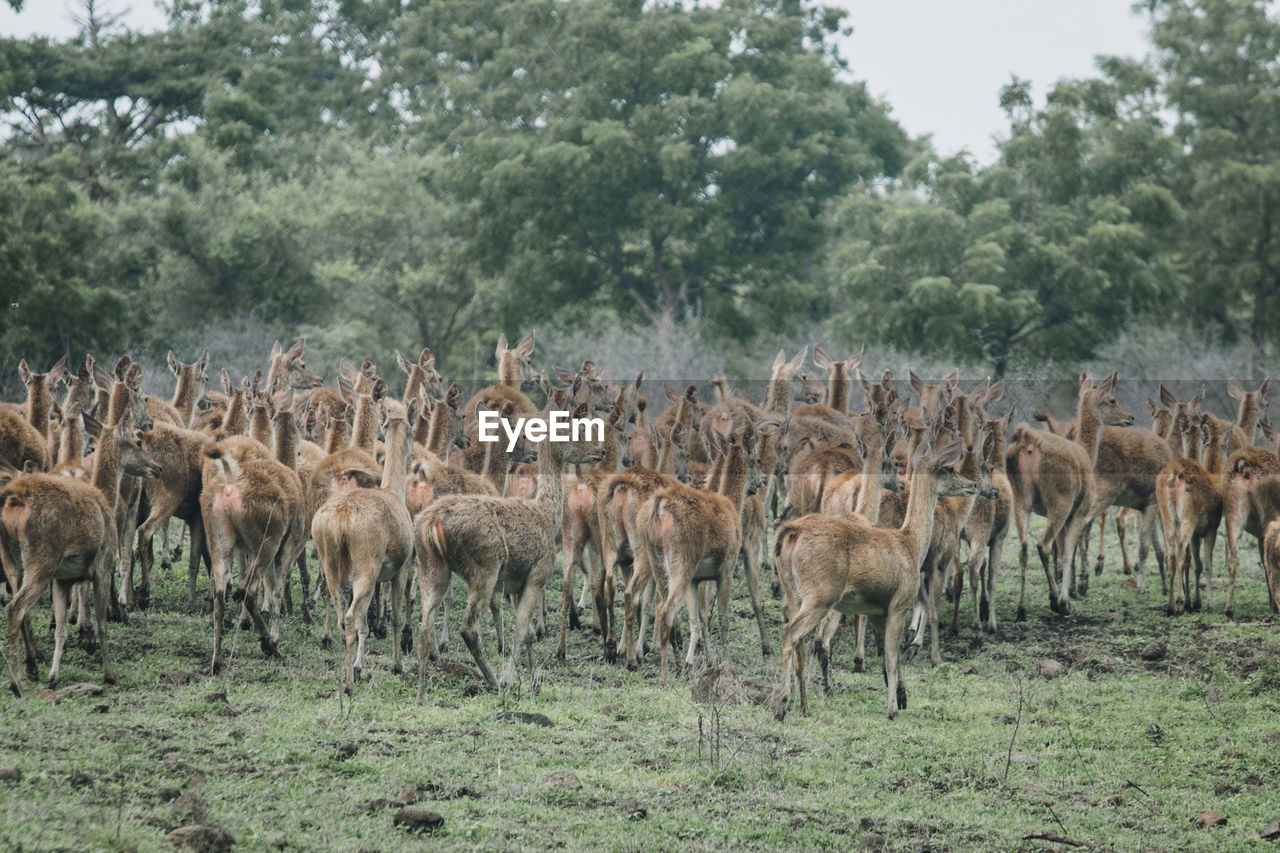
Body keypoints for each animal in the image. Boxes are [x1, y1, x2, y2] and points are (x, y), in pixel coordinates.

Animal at [312, 394, 417, 686]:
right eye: (412, 428)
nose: (413, 452)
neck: (393, 491)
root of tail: (342, 519)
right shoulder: (402, 567)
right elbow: (393, 618)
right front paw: (396, 665)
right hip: (366, 567)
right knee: (351, 618)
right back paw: (351, 679)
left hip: (330, 561)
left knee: (341, 613)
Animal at [414, 402, 604, 696]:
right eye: (577, 432)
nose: (600, 451)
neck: (548, 514)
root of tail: (432, 523)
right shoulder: (537, 574)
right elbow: (521, 630)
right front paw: (511, 679)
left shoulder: (514, 585)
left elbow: (528, 634)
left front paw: (534, 680)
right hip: (485, 567)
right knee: (468, 627)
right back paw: (493, 680)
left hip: (431, 565)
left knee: (423, 626)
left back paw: (423, 690)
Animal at [762, 432, 972, 717]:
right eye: (949, 468)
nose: (972, 484)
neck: (910, 544)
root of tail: (789, 534)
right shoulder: (899, 604)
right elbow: (892, 657)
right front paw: (893, 708)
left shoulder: (877, 612)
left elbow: (890, 656)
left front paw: (902, 697)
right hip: (820, 596)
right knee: (792, 633)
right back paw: (782, 705)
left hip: (794, 594)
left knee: (799, 642)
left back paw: (802, 706)